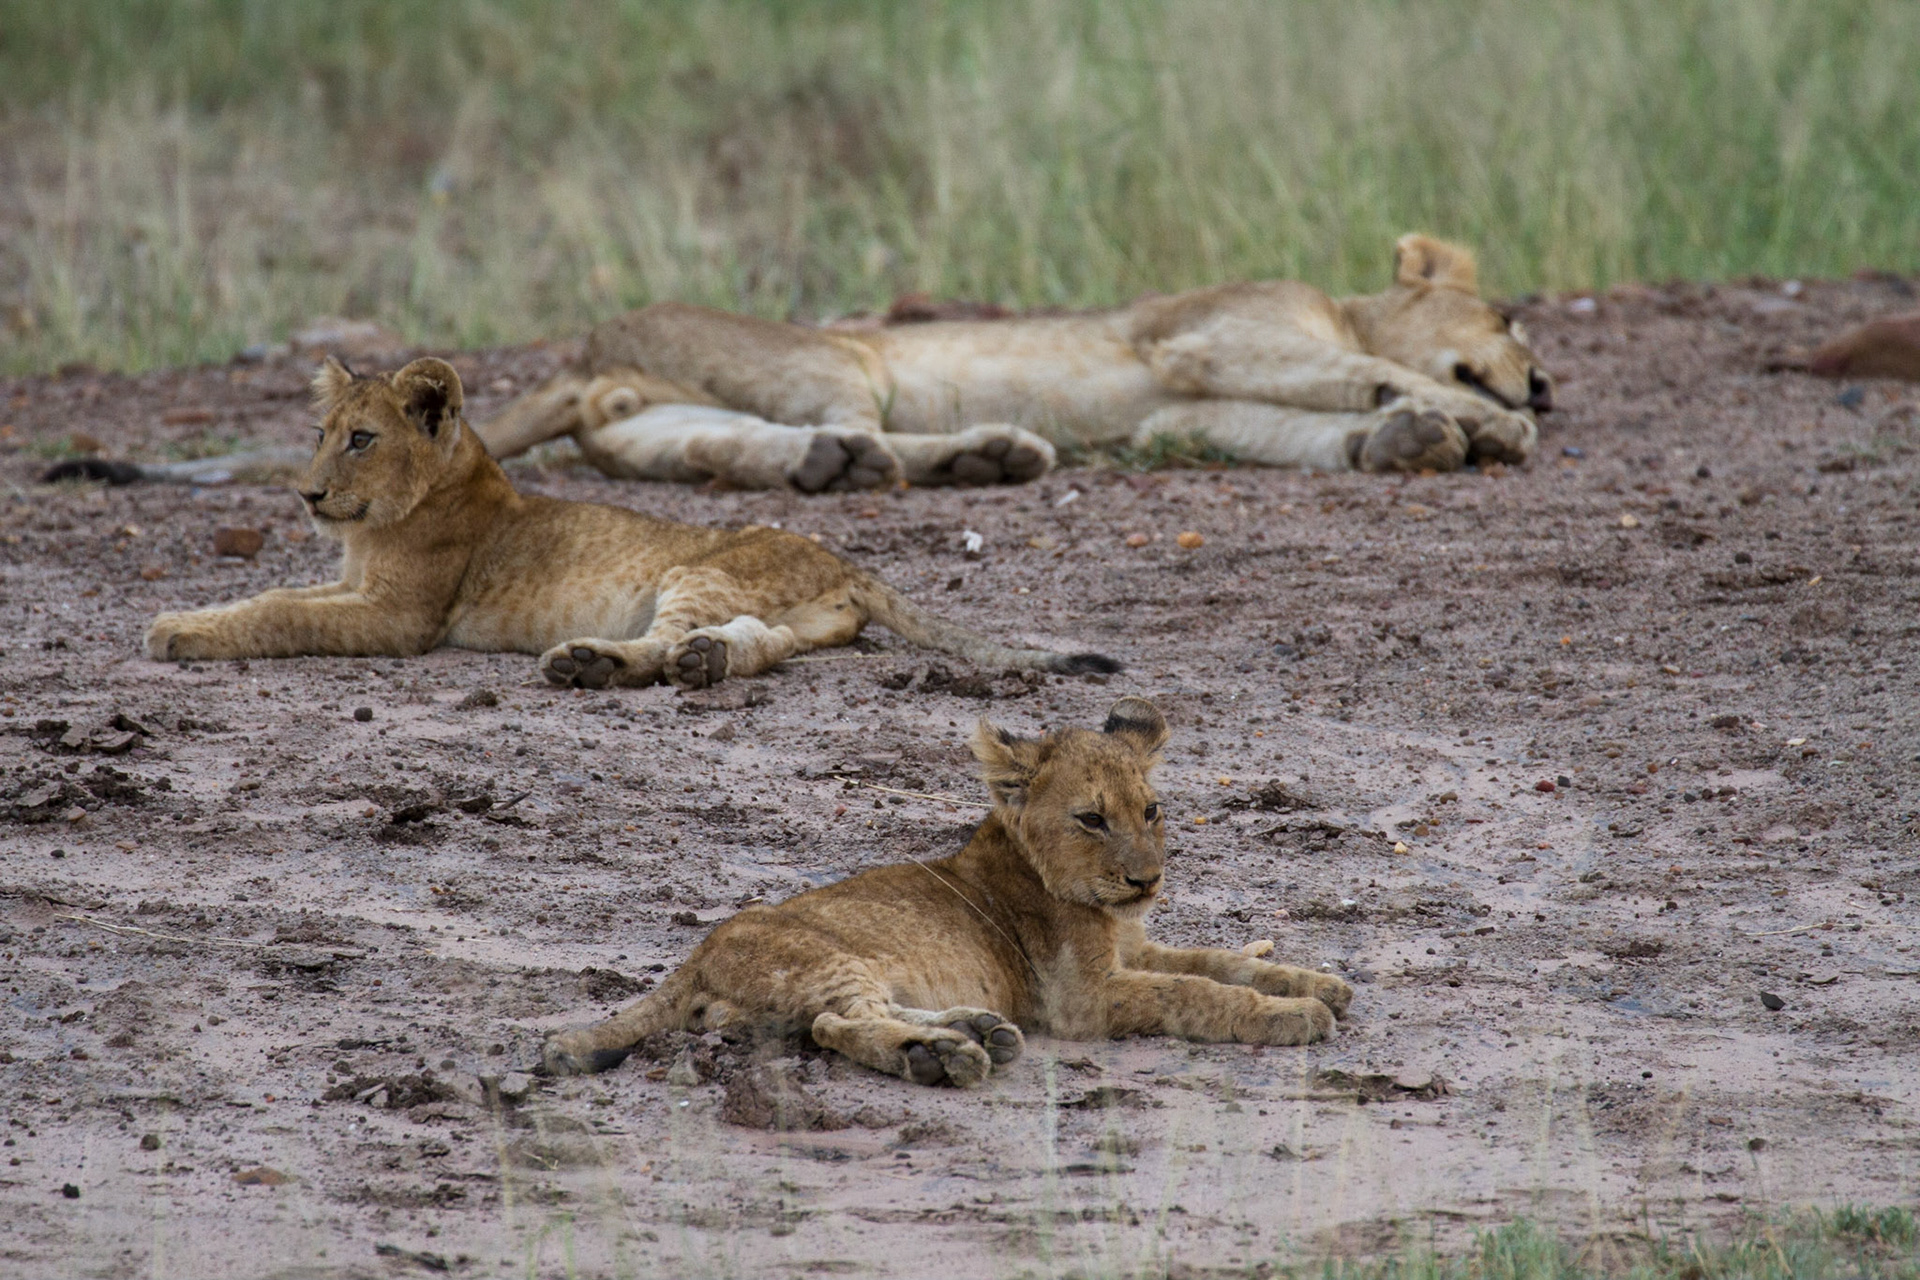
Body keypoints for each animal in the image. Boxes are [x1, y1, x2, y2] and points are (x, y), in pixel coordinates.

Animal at [143, 357, 1118, 689]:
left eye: (361, 439)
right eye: (318, 434)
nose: (306, 497)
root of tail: (848, 562)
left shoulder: (402, 617)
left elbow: (280, 612)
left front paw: (176, 633)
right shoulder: (353, 584)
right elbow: (273, 592)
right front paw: (189, 617)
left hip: (696, 570)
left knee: (679, 636)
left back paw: (593, 664)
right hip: (774, 611)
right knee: (761, 642)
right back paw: (698, 661)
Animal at [543, 697, 1353, 1086]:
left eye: (1150, 811)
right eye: (1091, 819)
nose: (1146, 879)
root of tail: (699, 952)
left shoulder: (1136, 945)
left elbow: (1218, 960)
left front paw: (1318, 982)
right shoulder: (1082, 998)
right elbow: (1198, 992)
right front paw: (1294, 1015)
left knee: (843, 1019)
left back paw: (976, 1031)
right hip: (823, 959)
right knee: (834, 1026)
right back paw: (942, 1058)